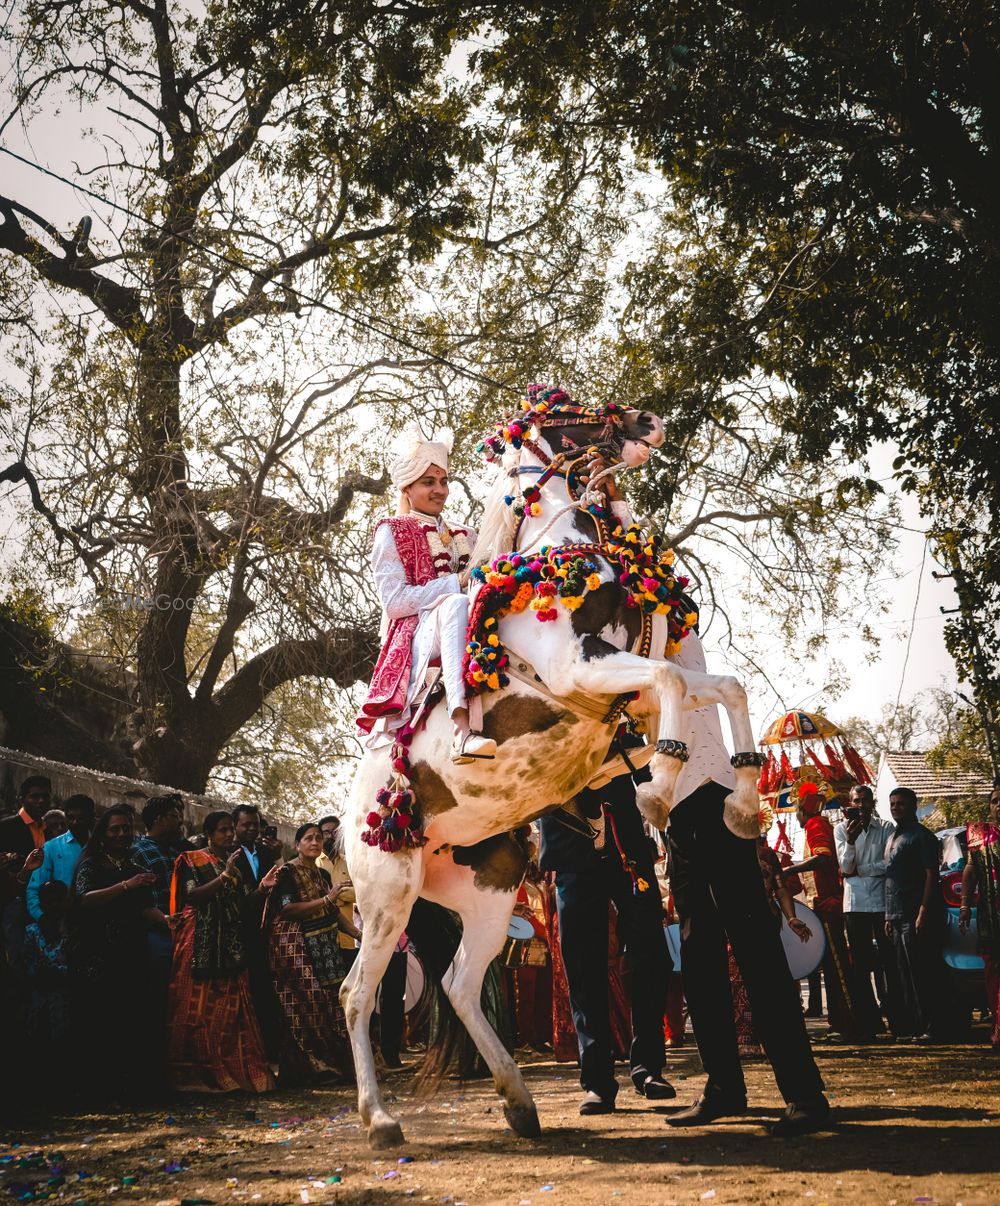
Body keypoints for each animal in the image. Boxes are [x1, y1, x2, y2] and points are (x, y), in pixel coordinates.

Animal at [340, 393, 762, 1148]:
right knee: (357, 994)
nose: (648, 423)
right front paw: (658, 791)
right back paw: (381, 1119)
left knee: (458, 983)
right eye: (567, 410)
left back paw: (519, 1102)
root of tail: (349, 822)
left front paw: (740, 803)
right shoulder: (579, 668)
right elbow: (673, 682)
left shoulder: (624, 685)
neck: (554, 558)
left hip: (488, 887)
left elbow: (721, 686)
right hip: (388, 897)